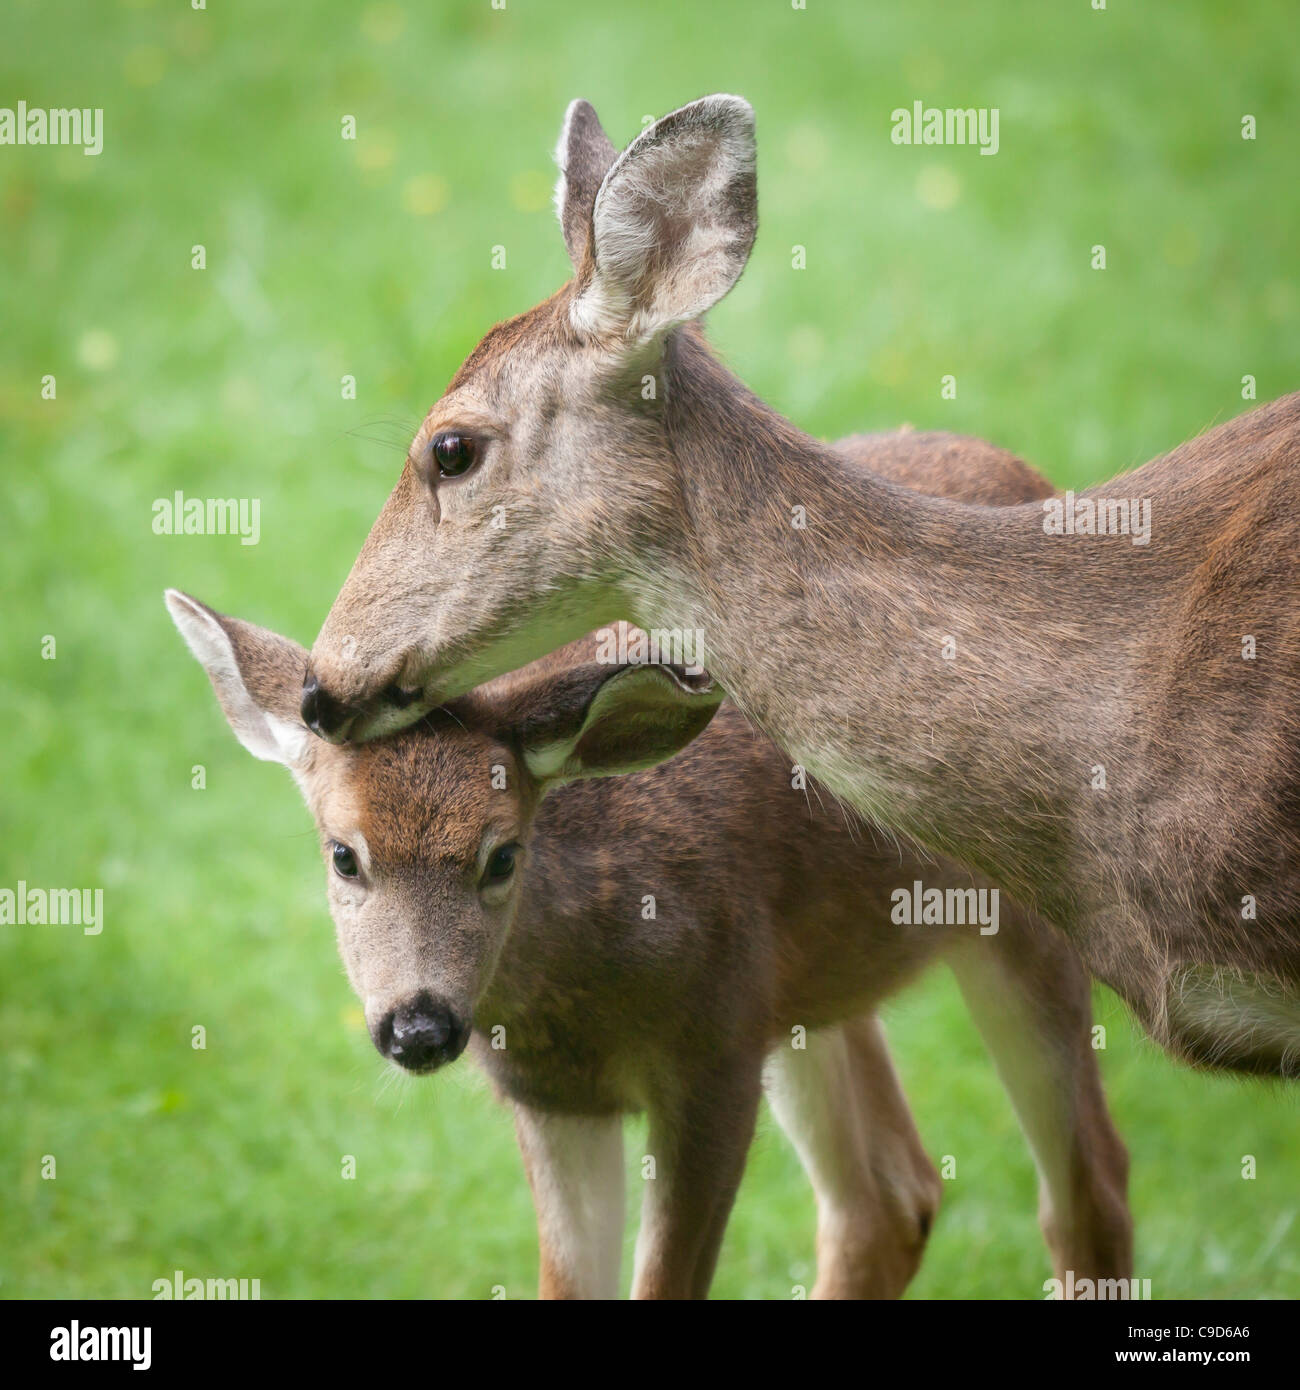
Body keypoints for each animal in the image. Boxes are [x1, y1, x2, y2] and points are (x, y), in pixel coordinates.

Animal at [168, 430, 1130, 1300]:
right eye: (344, 856)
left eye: (502, 854)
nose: (420, 1026)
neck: (583, 1000)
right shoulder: (557, 1099)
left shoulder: (714, 1059)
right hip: (808, 995)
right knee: (890, 1198)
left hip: (1030, 927)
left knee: (1091, 1185)